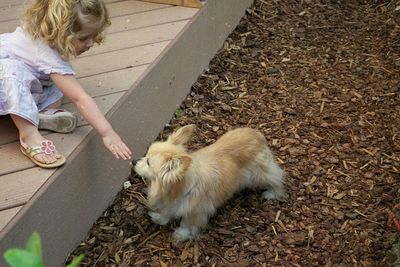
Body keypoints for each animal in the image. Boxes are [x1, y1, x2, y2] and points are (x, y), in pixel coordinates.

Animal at [134, 124, 284, 242]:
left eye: (148, 162)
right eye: (146, 155)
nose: (134, 160)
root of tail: (256, 134)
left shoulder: (195, 213)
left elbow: (186, 225)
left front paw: (181, 235)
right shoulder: (171, 204)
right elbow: (166, 213)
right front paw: (159, 218)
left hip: (259, 175)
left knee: (277, 177)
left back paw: (273, 193)